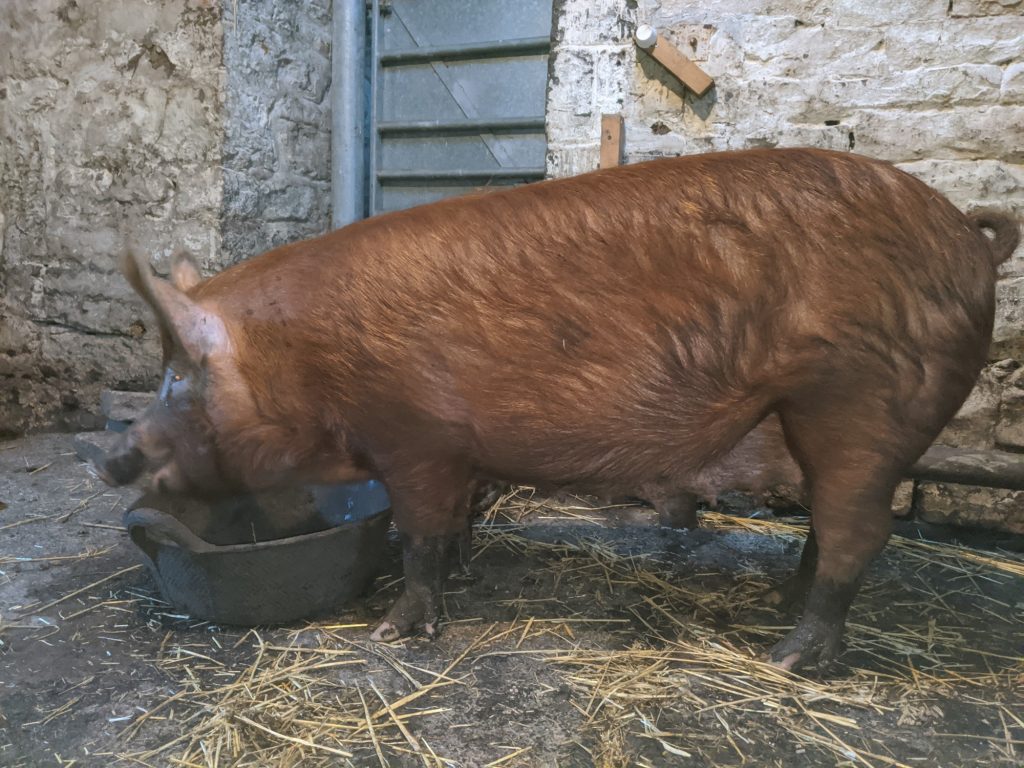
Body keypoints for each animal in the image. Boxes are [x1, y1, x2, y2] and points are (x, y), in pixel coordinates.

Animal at [97, 147, 1015, 671]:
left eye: (177, 379)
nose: (113, 455)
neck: (306, 362)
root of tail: (969, 238)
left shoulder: (414, 438)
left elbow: (418, 535)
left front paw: (394, 632)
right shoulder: (453, 453)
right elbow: (454, 525)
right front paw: (465, 575)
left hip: (863, 396)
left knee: (862, 529)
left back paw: (789, 659)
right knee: (832, 520)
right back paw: (787, 611)